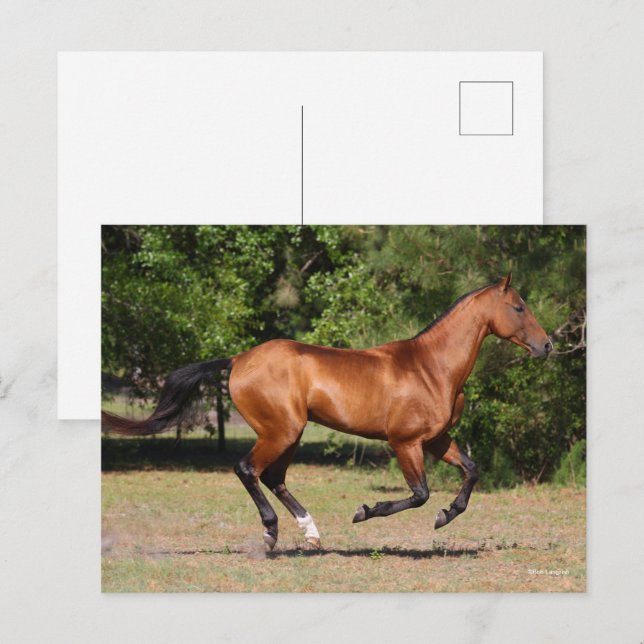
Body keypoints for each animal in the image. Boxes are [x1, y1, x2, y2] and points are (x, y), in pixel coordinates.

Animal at [102, 272, 552, 551]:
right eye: (518, 308)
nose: (547, 346)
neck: (431, 368)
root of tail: (238, 359)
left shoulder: (438, 440)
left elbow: (471, 470)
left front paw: (446, 516)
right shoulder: (405, 442)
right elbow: (419, 494)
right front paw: (365, 512)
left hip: (291, 433)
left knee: (274, 478)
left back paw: (311, 533)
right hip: (280, 431)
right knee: (249, 470)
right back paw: (271, 534)